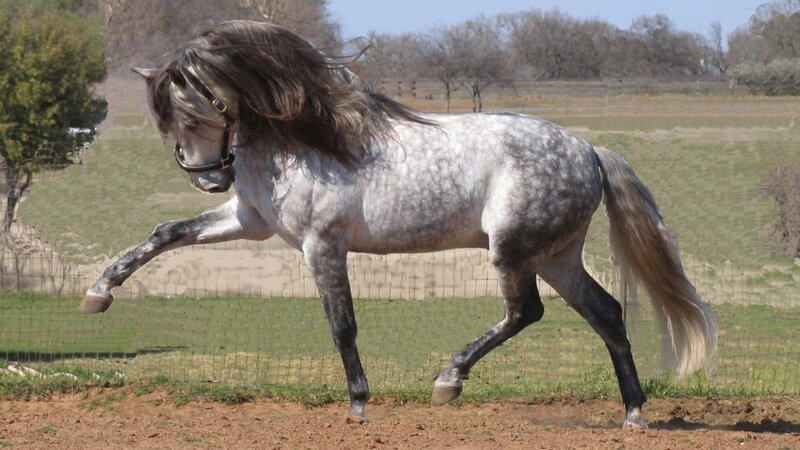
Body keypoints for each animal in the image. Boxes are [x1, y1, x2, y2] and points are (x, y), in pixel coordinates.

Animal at [79, 20, 717, 429]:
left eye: (195, 112)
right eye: (168, 121)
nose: (210, 179)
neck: (304, 139)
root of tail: (588, 150)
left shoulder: (321, 245)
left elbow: (342, 325)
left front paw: (359, 404)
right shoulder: (249, 220)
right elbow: (166, 233)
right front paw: (98, 294)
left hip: (513, 251)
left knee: (525, 311)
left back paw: (448, 380)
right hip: (555, 256)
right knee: (605, 311)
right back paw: (633, 413)